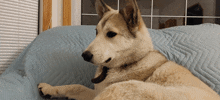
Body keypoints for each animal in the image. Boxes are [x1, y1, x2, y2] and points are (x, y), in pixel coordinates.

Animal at [37, 0, 220, 99]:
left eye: (111, 34)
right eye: (96, 32)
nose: (85, 55)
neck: (132, 61)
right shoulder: (95, 91)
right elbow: (76, 86)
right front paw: (50, 88)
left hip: (126, 87)